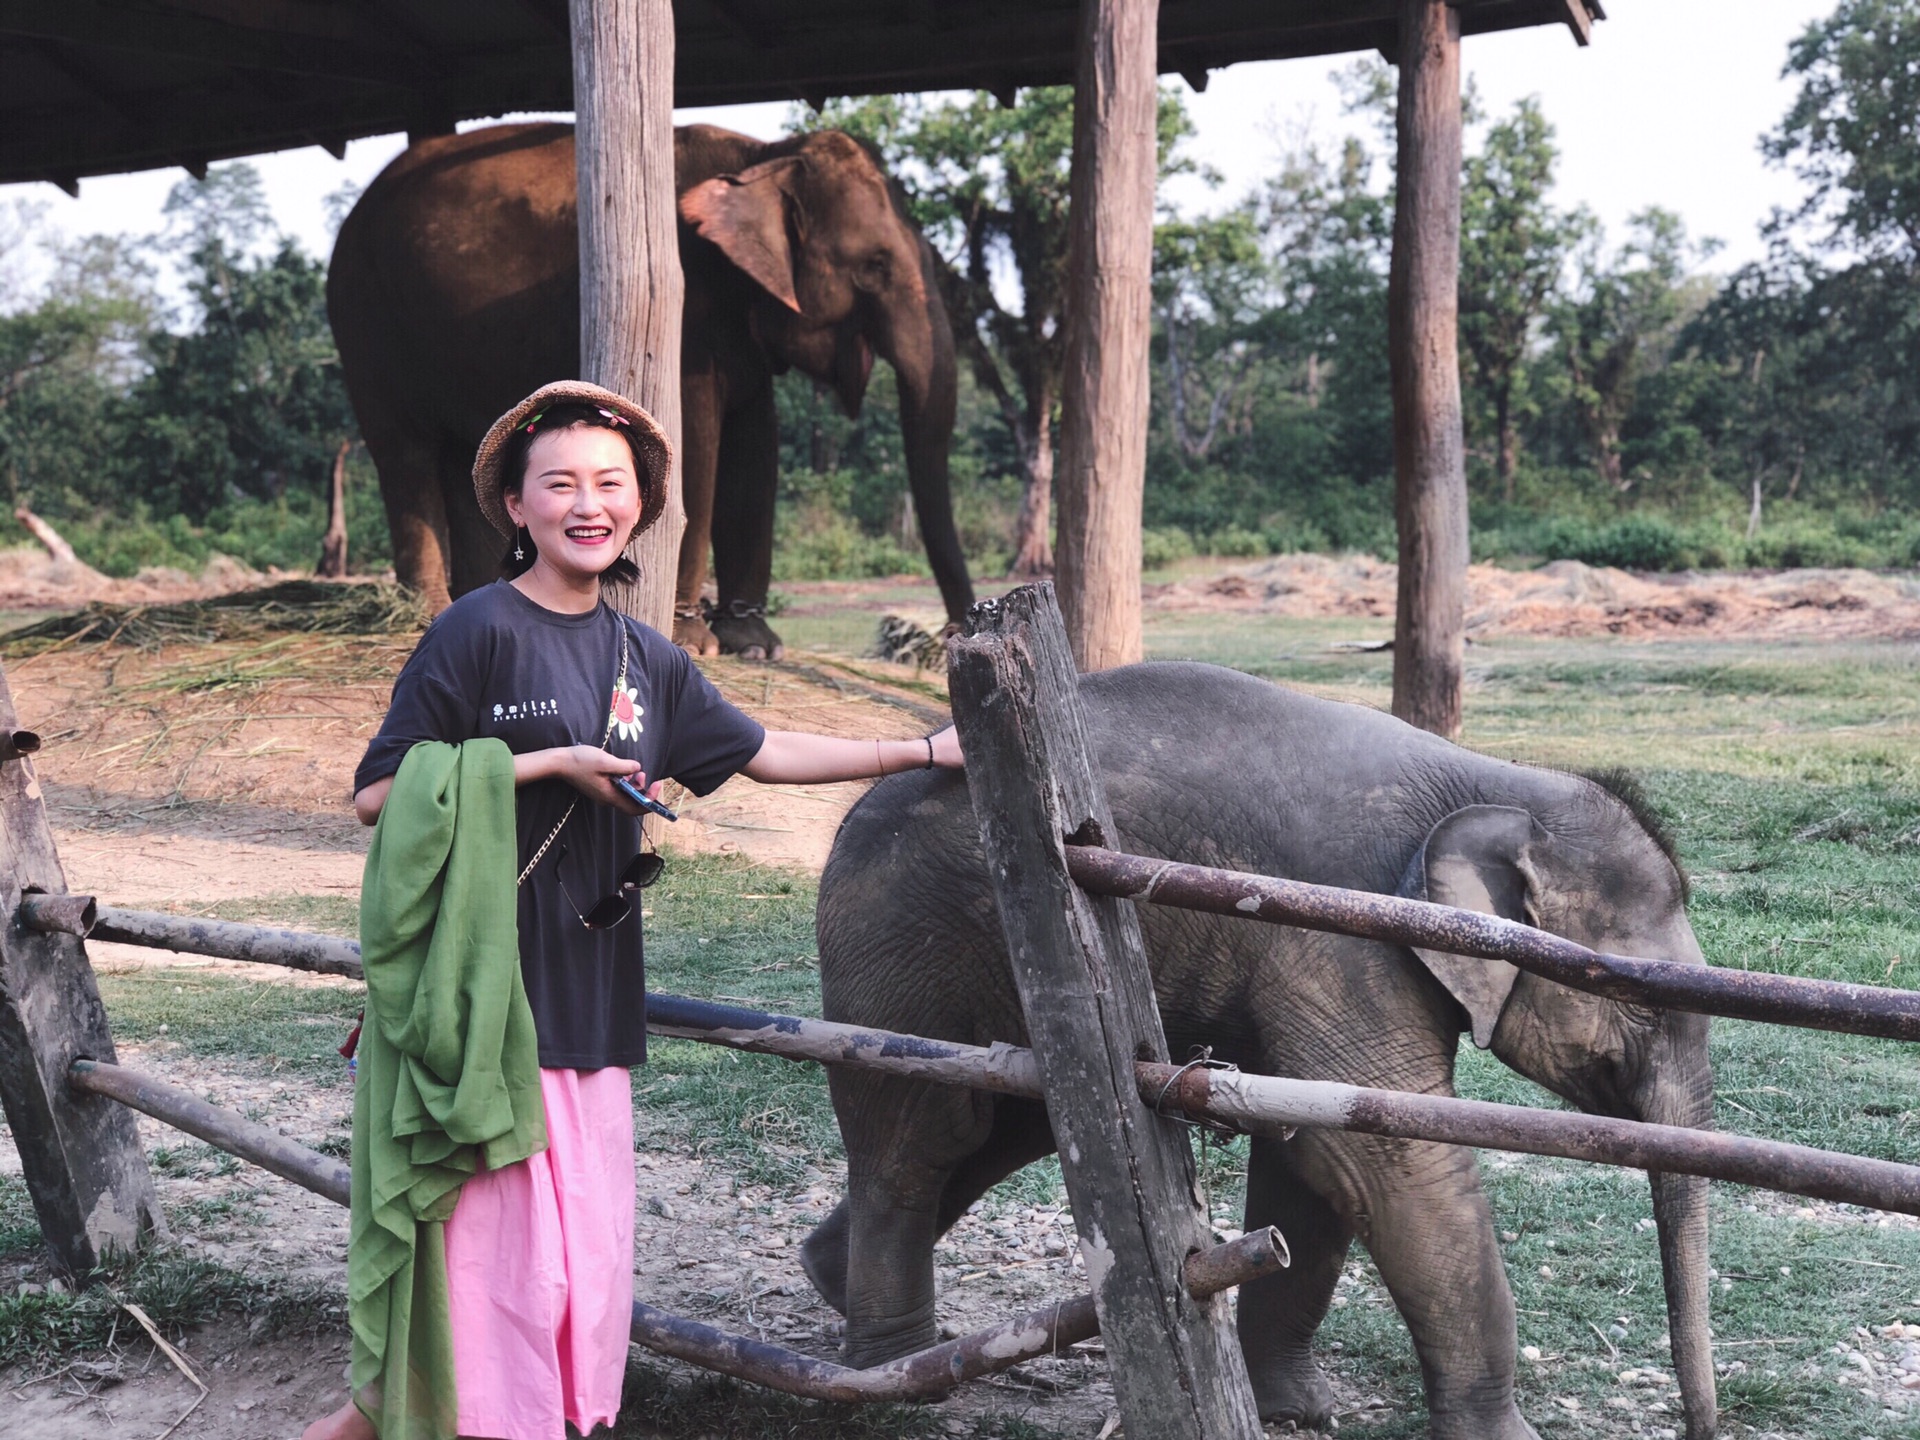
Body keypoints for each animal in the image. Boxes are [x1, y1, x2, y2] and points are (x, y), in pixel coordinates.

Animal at [324, 126, 975, 656]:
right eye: (875, 265)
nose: (950, 633)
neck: (762, 157)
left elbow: (756, 445)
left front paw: (755, 645)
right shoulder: (686, 306)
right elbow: (697, 437)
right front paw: (694, 640)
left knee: (464, 457)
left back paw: (481, 598)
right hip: (364, 319)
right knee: (404, 452)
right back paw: (429, 612)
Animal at [802, 664, 1720, 1440]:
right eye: (1647, 1004)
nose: (1700, 1426)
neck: (1497, 779)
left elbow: (1316, 1153)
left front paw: (1298, 1411)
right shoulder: (1339, 934)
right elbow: (1385, 1159)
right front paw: (1503, 1438)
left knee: (1001, 1124)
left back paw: (830, 1281)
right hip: (899, 951)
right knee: (922, 1138)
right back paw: (893, 1380)